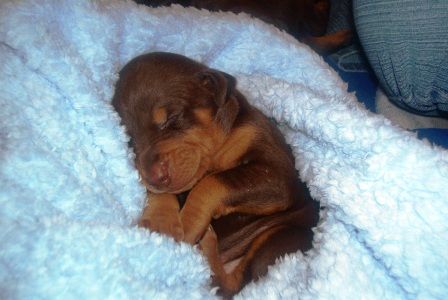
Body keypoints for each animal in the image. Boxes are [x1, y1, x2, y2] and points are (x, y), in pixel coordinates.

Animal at [114, 51, 320, 296]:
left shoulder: (277, 174)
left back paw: (207, 244)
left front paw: (188, 225)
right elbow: (164, 191)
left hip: (280, 236)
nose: (155, 178)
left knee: (231, 285)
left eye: (172, 118)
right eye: (130, 140)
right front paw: (160, 221)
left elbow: (211, 183)